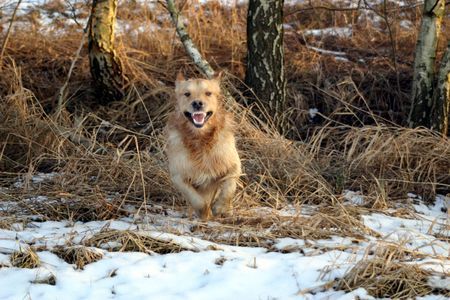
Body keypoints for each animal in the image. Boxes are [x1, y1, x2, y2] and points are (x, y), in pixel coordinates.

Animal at [165, 71, 241, 219]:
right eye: (187, 94)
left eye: (208, 93)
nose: (197, 103)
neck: (200, 138)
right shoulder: (178, 175)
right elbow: (195, 198)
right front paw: (205, 213)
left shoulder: (234, 164)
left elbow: (229, 186)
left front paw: (221, 207)